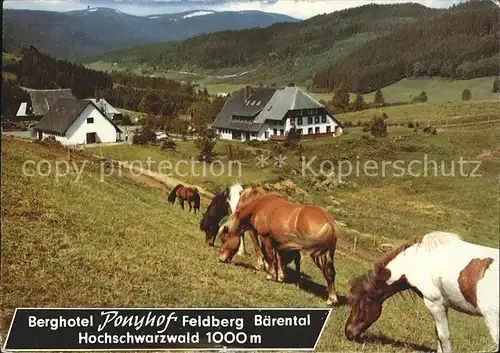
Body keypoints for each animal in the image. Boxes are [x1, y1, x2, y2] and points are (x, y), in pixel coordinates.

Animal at [346, 231, 498, 352]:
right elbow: (439, 336)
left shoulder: (434, 303)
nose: (348, 332)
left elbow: (444, 337)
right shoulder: (442, 305)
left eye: (360, 304)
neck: (416, 262)